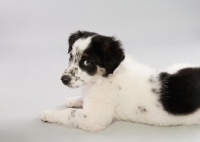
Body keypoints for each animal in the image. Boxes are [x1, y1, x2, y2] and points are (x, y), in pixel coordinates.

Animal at [39, 30, 200, 131]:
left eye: (87, 61)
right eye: (71, 57)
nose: (63, 79)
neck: (102, 78)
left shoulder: (95, 118)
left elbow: (69, 113)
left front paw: (49, 114)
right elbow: (81, 100)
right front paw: (73, 100)